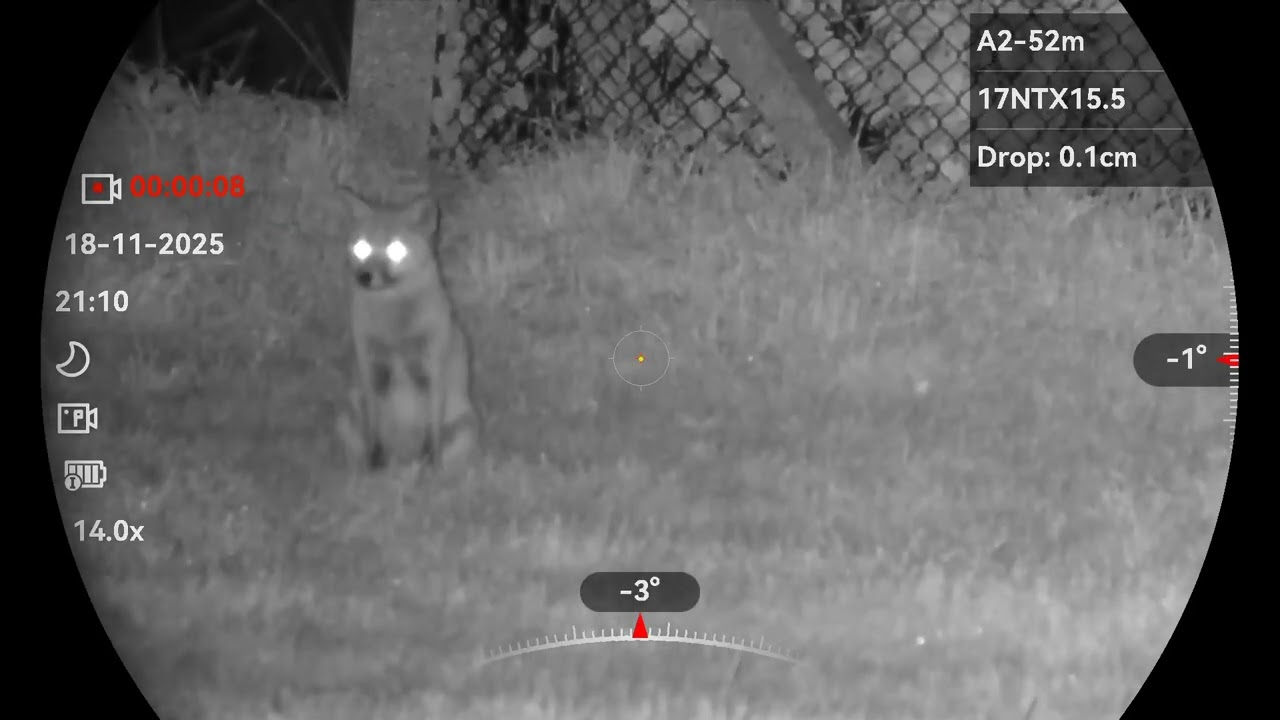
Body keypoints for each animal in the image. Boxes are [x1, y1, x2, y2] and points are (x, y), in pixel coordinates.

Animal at [334, 188, 479, 474]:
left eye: (396, 249)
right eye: (361, 247)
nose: (365, 276)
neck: (396, 337)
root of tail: (402, 460)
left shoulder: (431, 373)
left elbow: (431, 437)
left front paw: (430, 470)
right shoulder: (372, 373)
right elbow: (375, 435)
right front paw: (375, 468)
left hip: (464, 429)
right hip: (346, 418)